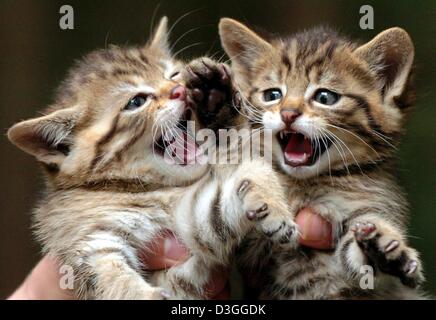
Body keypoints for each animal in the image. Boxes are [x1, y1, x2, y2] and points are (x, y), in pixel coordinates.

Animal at [7, 16, 296, 298]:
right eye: (136, 102)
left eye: (174, 74)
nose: (179, 90)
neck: (147, 188)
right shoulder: (86, 239)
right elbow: (106, 272)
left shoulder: (192, 222)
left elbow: (228, 197)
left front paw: (271, 206)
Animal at [220, 17, 424, 298]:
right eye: (272, 95)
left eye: (325, 97)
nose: (288, 114)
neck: (305, 183)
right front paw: (266, 203)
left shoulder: (374, 203)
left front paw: (383, 246)